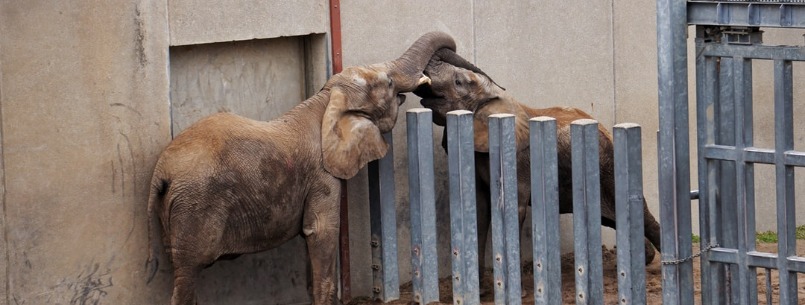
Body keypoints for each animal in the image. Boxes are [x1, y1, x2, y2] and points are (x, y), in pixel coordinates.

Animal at [147, 30, 456, 304]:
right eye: (390, 83)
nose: (430, 81)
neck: (327, 100)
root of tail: (161, 173)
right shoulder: (322, 175)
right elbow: (321, 231)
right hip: (194, 206)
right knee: (188, 272)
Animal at [412, 48, 664, 272]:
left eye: (458, 82)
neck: (496, 99)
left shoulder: (516, 159)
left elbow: (513, 207)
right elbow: (481, 208)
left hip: (608, 166)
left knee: (640, 213)